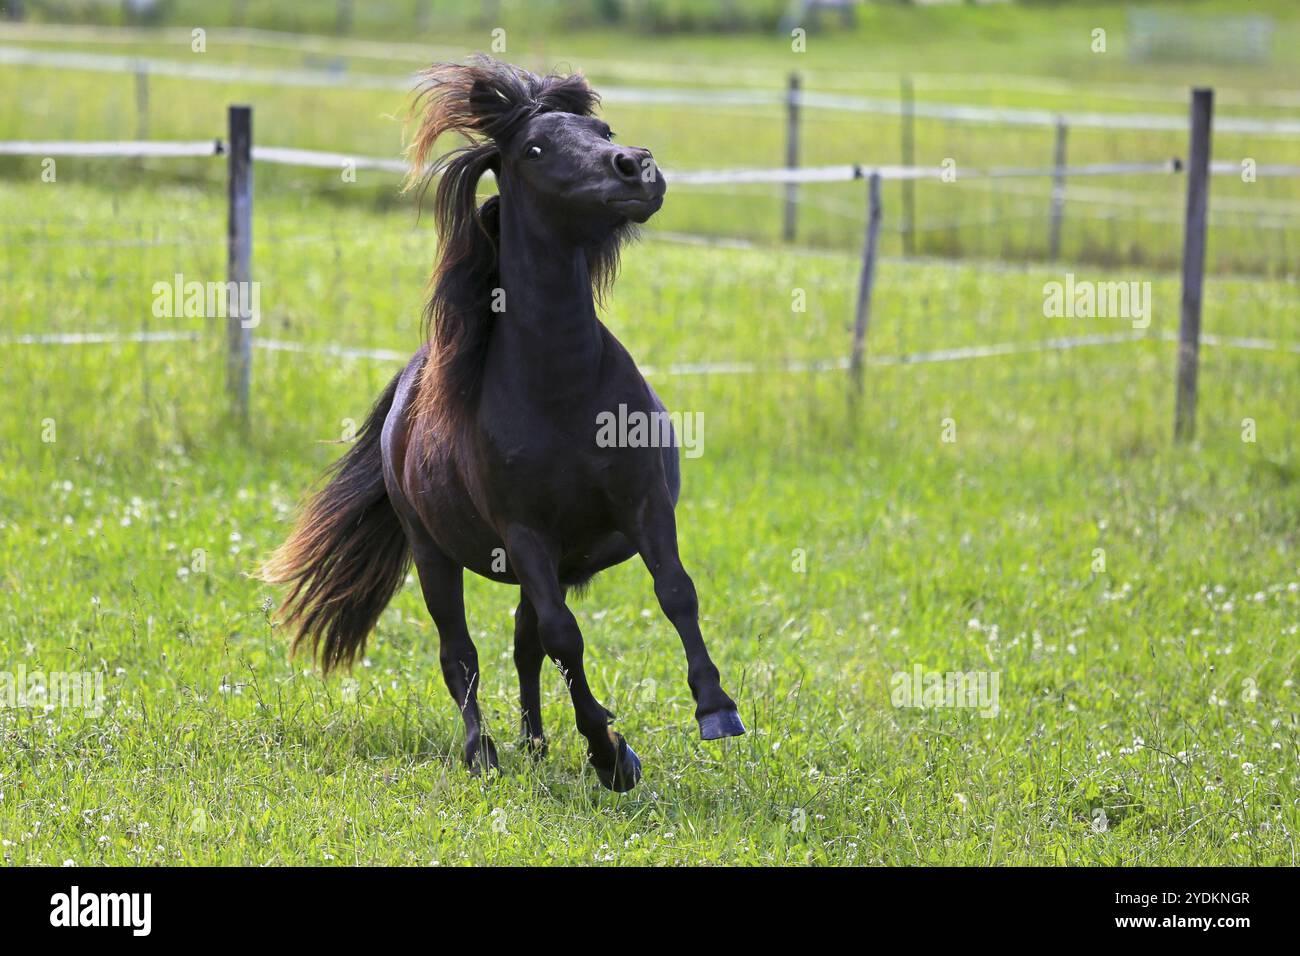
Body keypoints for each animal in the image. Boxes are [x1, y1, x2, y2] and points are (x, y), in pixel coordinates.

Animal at [261, 57, 743, 790]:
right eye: (535, 150)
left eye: (604, 130)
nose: (637, 168)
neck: (564, 391)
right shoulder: (526, 533)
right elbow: (565, 637)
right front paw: (611, 755)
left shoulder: (643, 505)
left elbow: (675, 593)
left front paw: (715, 708)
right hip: (436, 557)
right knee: (463, 653)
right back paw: (483, 754)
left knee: (524, 644)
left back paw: (535, 743)